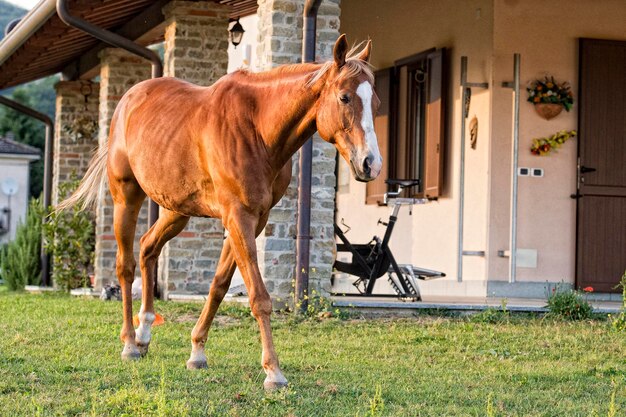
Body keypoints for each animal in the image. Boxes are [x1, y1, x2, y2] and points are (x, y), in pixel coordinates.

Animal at [59, 34, 380, 388]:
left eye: (376, 103)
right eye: (345, 97)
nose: (371, 164)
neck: (257, 129)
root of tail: (128, 101)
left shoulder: (252, 220)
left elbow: (219, 286)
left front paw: (197, 351)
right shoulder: (238, 216)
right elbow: (258, 297)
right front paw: (273, 371)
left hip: (175, 210)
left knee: (147, 249)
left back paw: (144, 334)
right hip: (126, 198)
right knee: (126, 266)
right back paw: (130, 342)